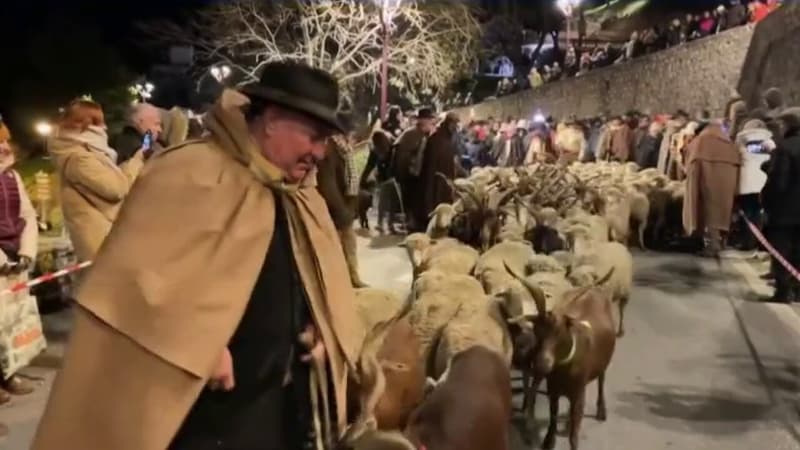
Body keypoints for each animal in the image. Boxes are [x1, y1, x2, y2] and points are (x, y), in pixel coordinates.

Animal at [506, 266, 620, 448]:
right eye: (537, 330)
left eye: (560, 332)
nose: (541, 364)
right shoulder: (553, 389)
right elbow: (553, 416)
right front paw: (548, 442)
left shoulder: (578, 393)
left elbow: (574, 434)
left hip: (602, 363)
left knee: (601, 379)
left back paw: (601, 411)